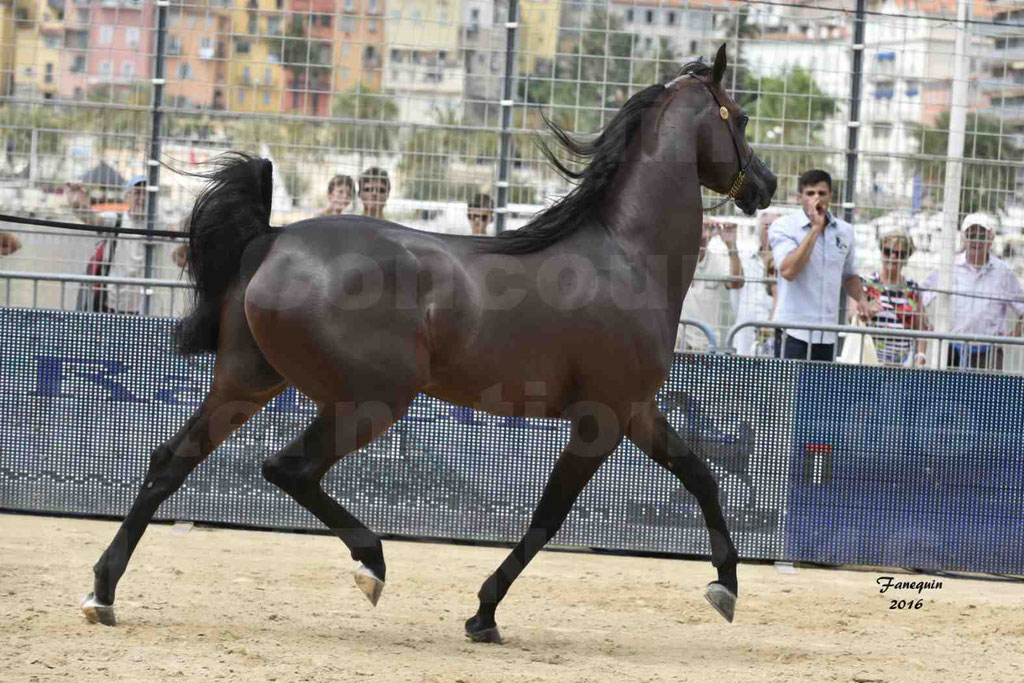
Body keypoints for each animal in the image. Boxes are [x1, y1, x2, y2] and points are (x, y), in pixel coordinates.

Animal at [83, 45, 774, 643]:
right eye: (739, 117)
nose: (764, 185)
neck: (627, 257)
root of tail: (273, 239)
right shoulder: (601, 418)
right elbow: (548, 517)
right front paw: (484, 614)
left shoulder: (638, 412)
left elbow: (702, 478)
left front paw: (726, 588)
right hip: (371, 402)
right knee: (286, 468)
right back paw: (371, 565)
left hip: (247, 382)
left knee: (169, 462)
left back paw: (102, 593)